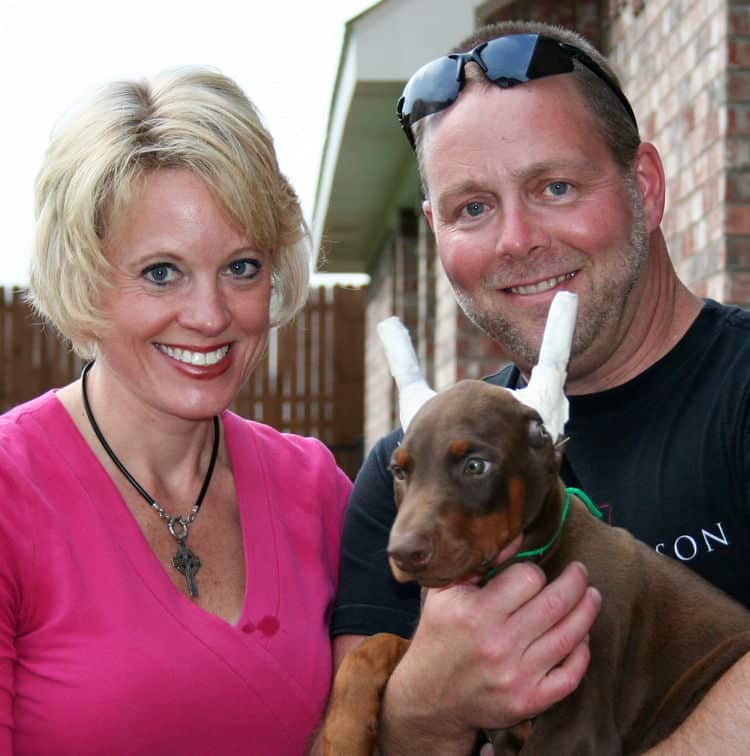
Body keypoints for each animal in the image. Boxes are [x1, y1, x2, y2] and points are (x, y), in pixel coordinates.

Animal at [324, 380, 750, 756]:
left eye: (475, 465)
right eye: (399, 472)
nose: (402, 553)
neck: (536, 553)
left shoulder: (575, 730)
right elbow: (370, 646)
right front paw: (342, 734)